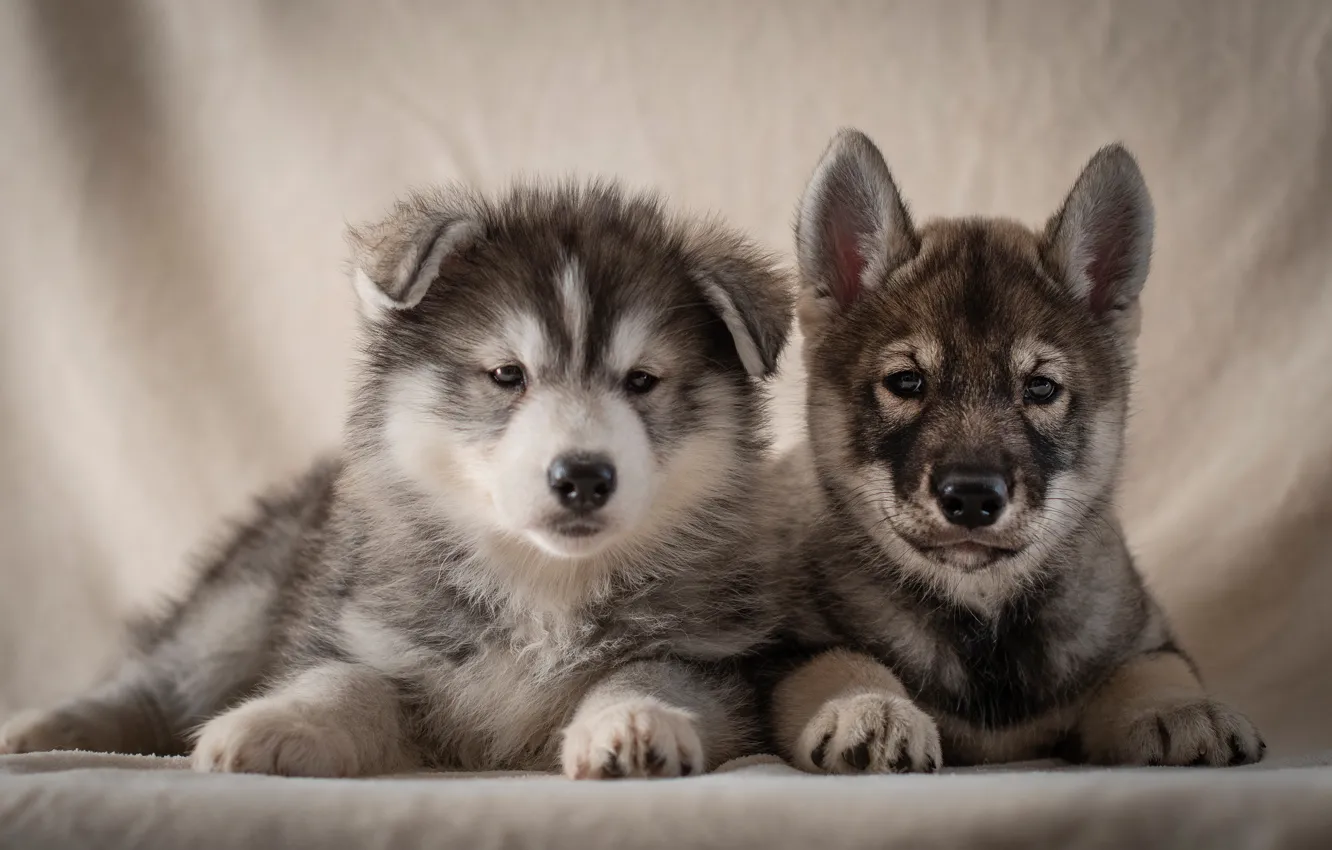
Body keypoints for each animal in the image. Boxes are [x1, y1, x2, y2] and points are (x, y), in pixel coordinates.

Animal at [0, 183, 788, 783]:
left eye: (642, 381)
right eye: (507, 375)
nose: (584, 475)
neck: (542, 587)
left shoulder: (715, 659)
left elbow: (648, 673)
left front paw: (635, 721)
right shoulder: (370, 635)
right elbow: (343, 680)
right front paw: (280, 720)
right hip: (241, 604)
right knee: (155, 680)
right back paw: (40, 727)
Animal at [767, 129, 1262, 778]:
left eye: (1041, 389)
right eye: (906, 382)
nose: (973, 498)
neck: (983, 618)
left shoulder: (1145, 634)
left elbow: (1149, 669)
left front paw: (1182, 709)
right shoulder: (783, 651)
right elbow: (837, 661)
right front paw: (869, 707)